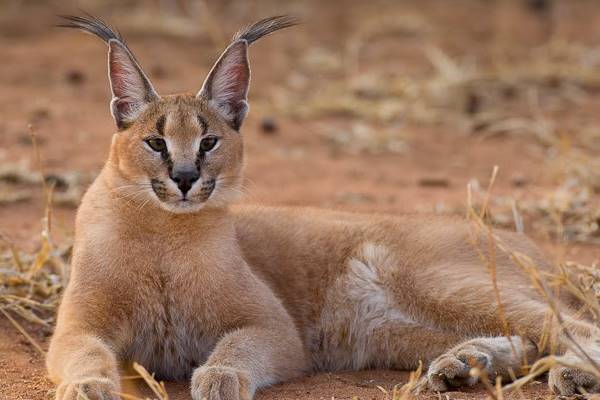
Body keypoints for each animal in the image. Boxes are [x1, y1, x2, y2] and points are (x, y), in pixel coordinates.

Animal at [48, 14, 600, 398]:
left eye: (208, 142)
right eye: (155, 143)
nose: (185, 179)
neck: (163, 234)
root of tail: (514, 235)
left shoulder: (273, 325)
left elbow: (237, 346)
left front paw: (220, 376)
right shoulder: (79, 324)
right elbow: (86, 355)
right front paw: (86, 386)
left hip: (433, 281)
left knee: (569, 323)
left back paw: (572, 373)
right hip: (398, 331)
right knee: (527, 340)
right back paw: (464, 365)